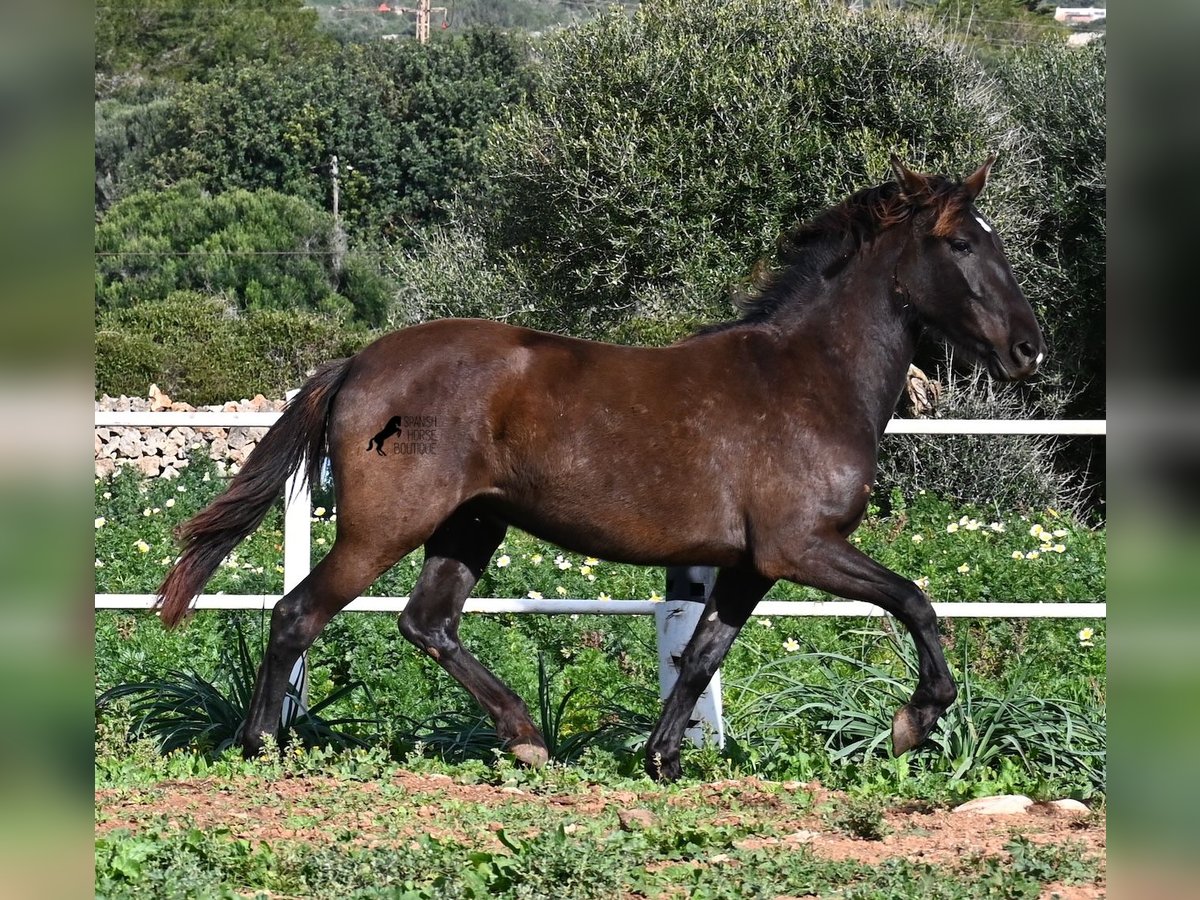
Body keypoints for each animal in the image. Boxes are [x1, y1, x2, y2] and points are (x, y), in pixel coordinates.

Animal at [157, 158, 1041, 787]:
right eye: (962, 243)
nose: (1027, 349)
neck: (809, 378)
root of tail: (358, 362)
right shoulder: (803, 547)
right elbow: (915, 601)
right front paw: (914, 723)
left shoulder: (752, 564)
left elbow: (702, 656)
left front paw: (663, 759)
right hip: (387, 526)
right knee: (298, 613)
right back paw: (262, 745)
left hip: (471, 526)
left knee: (425, 622)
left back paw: (525, 739)